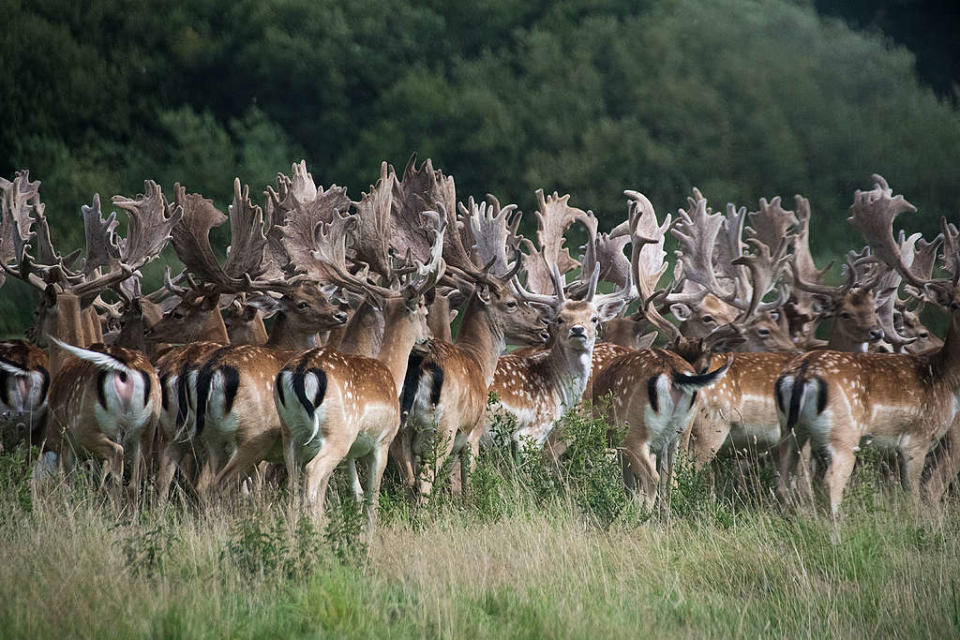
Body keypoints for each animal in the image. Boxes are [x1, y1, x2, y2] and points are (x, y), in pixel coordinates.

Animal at [776, 175, 960, 516]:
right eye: (954, 303)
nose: (876, 333)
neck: (945, 378)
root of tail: (802, 374)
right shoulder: (916, 441)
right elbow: (917, 494)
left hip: (792, 432)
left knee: (786, 477)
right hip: (843, 432)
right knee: (832, 480)